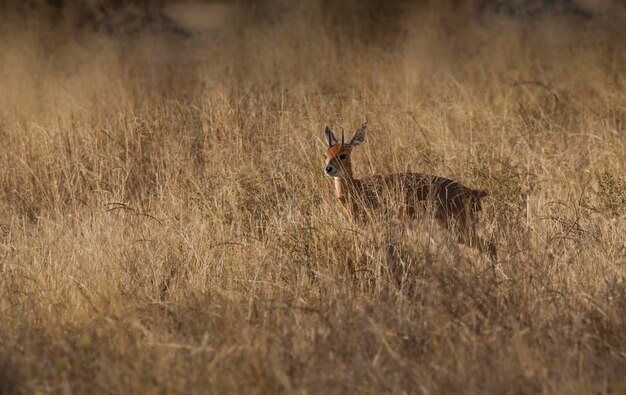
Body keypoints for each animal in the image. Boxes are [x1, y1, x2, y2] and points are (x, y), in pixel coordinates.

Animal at [324, 124, 494, 260]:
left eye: (343, 155)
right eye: (326, 154)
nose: (328, 169)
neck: (356, 188)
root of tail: (472, 192)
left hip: (458, 228)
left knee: (489, 246)